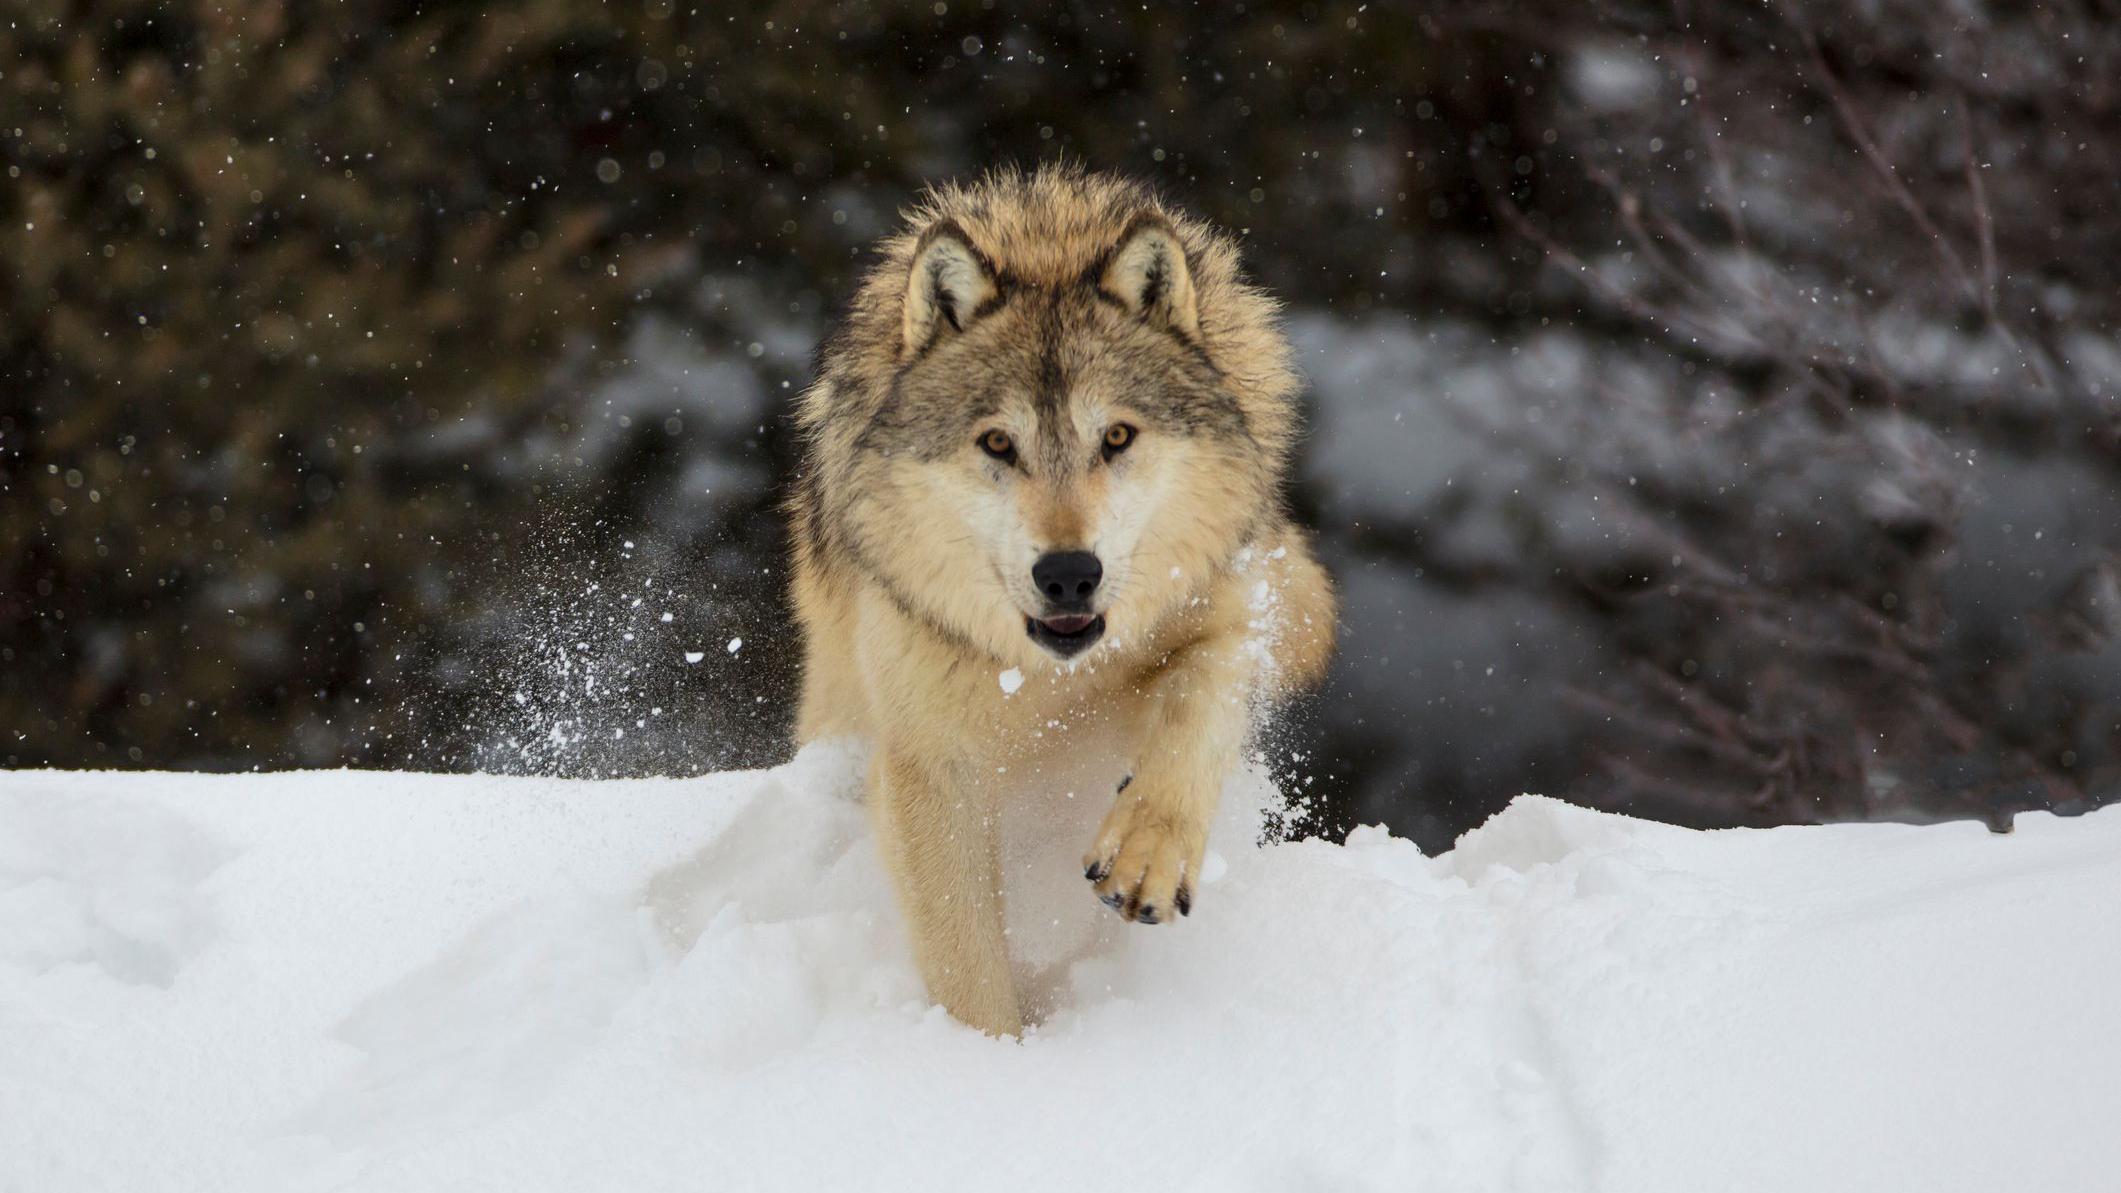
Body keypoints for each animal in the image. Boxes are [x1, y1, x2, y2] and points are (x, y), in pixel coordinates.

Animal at [788, 165, 1336, 1036]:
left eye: (1114, 437)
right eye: (996, 442)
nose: (1069, 574)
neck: (1047, 678)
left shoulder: (1230, 611)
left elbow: (1199, 703)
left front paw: (1148, 853)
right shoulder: (932, 767)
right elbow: (967, 963)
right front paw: (991, 1057)